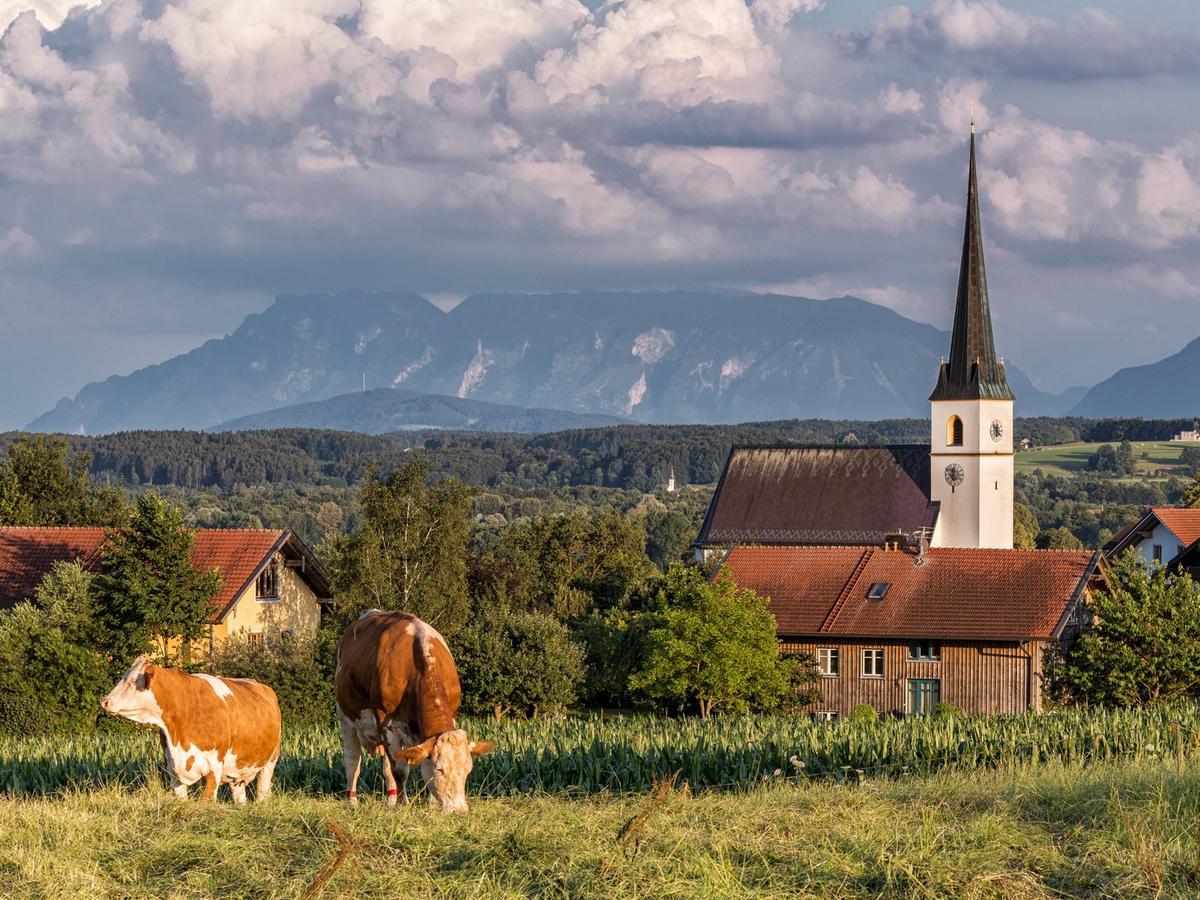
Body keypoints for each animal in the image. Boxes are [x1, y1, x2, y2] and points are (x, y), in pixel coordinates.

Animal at [99, 657, 282, 801]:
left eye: (131, 680)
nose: (104, 701)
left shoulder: (215, 765)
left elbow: (207, 800)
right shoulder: (172, 767)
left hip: (270, 761)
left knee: (263, 790)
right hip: (237, 773)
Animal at [333, 609, 492, 816]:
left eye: (468, 769)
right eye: (440, 769)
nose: (459, 810)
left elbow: (413, 766)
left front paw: (431, 804)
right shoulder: (386, 723)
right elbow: (400, 771)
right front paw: (404, 804)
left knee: (386, 766)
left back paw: (390, 800)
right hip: (345, 718)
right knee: (353, 761)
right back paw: (352, 801)